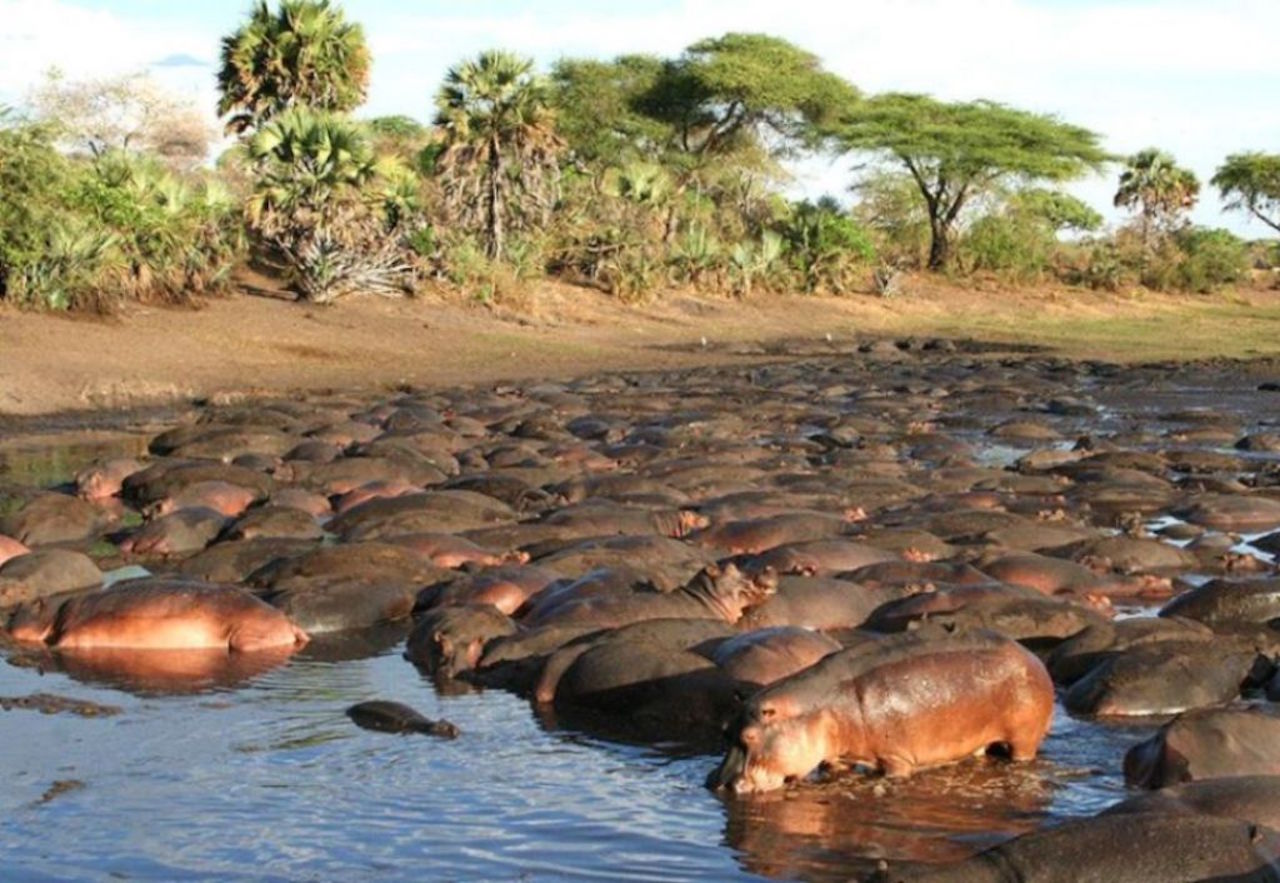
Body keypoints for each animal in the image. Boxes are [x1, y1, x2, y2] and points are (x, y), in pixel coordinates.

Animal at [706, 627, 1054, 793]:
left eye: (750, 736)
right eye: (724, 730)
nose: (716, 784)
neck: (821, 704)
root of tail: (1031, 656)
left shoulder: (896, 758)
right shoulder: (835, 757)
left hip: (1024, 738)